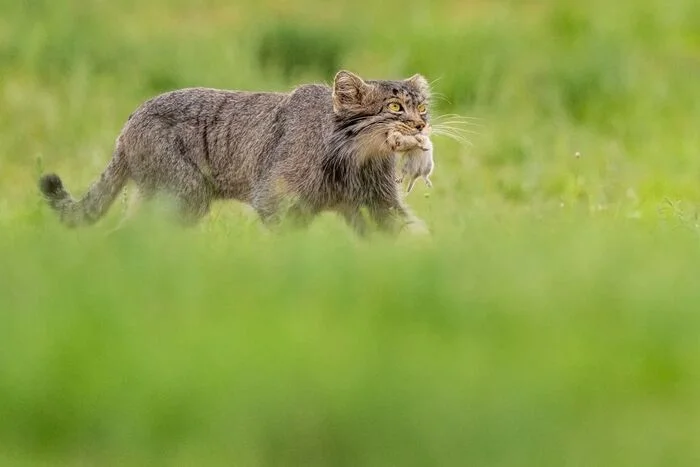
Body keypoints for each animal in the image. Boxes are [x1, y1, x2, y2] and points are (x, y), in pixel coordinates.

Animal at [39, 68, 432, 238]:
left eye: (423, 108)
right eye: (395, 107)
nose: (421, 126)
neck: (355, 160)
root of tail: (130, 120)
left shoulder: (378, 204)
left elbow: (409, 234)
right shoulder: (275, 199)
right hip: (184, 195)